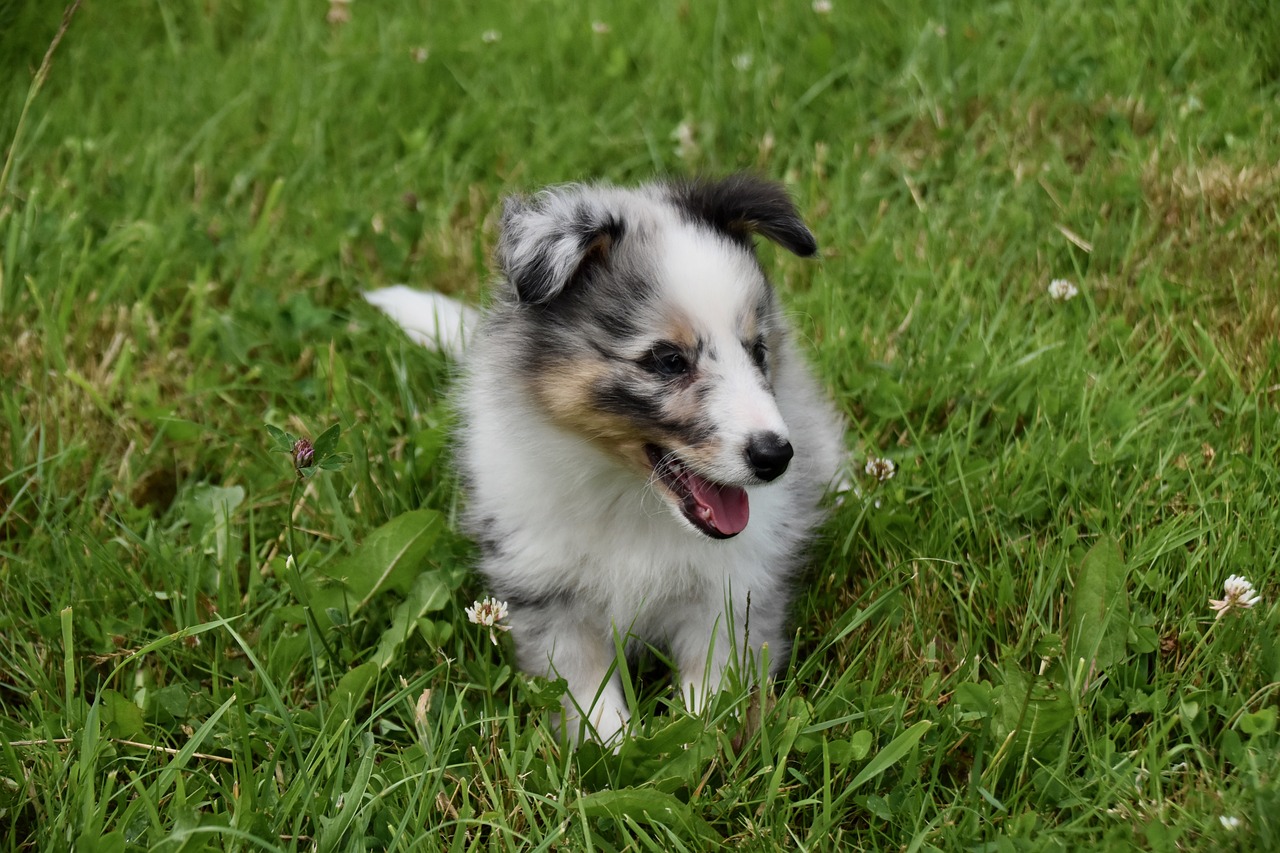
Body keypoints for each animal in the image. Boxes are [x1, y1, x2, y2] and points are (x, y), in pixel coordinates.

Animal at [366, 175, 844, 742]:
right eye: (667, 361)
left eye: (758, 351)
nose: (776, 457)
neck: (629, 497)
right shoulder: (551, 599)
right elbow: (592, 706)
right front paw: (617, 752)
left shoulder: (733, 596)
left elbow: (707, 700)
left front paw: (691, 746)